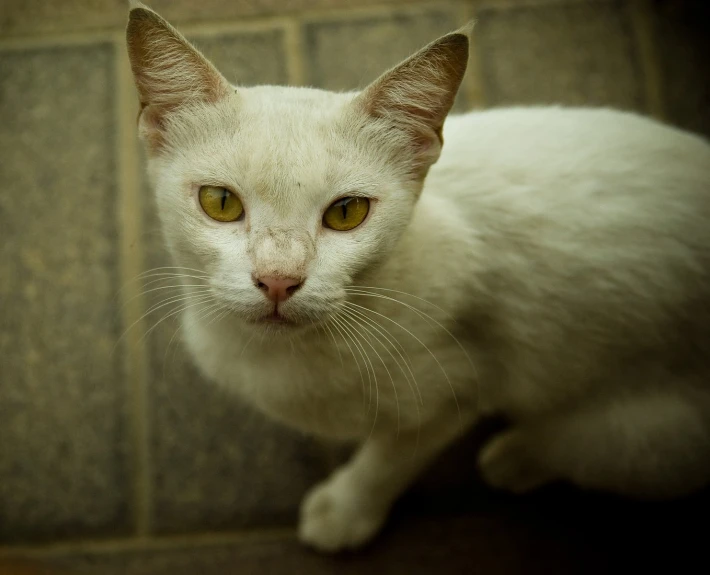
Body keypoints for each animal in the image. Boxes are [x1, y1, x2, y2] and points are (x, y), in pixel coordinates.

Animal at [126, 3, 710, 552]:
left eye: (347, 213)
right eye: (220, 202)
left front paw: (345, 511)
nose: (278, 279)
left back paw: (516, 456)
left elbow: (390, 458)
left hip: (646, 438)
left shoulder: (458, 387)